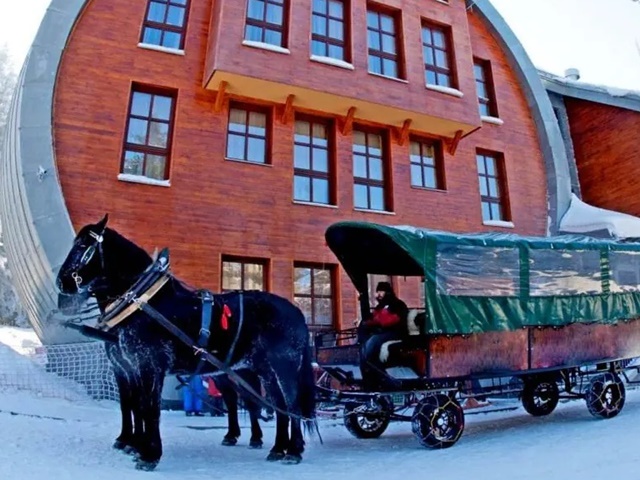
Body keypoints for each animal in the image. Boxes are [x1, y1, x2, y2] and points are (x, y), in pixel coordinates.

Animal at [56, 217, 316, 468]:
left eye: (83, 246)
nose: (61, 282)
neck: (143, 303)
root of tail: (297, 312)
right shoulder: (127, 367)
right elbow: (133, 406)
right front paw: (133, 444)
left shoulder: (149, 366)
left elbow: (149, 408)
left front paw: (149, 454)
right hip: (262, 370)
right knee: (274, 406)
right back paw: (277, 448)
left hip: (283, 367)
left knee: (291, 405)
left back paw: (293, 450)